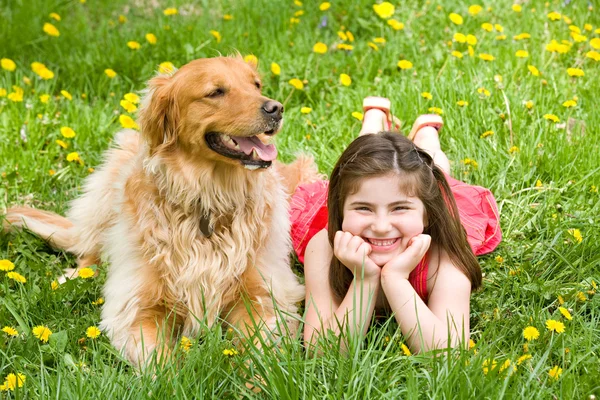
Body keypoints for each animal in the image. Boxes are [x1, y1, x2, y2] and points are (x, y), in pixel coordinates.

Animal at [5, 56, 318, 366]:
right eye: (216, 92)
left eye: (256, 85)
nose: (276, 108)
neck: (208, 201)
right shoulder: (136, 306)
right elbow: (161, 363)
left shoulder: (266, 296)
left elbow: (260, 354)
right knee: (89, 252)